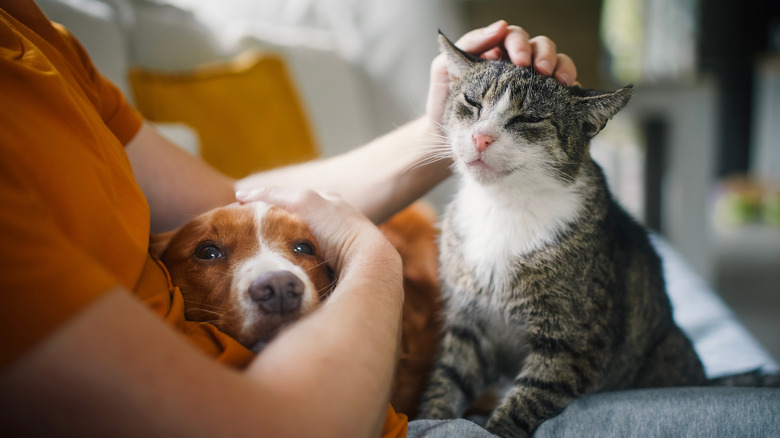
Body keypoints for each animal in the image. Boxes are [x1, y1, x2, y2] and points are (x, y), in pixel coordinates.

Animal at [418, 33, 708, 434]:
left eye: (529, 118)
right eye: (472, 102)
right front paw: (431, 418)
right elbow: (447, 382)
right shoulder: (467, 324)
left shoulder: (573, 341)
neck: (504, 207)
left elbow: (525, 400)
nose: (480, 139)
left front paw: (495, 427)